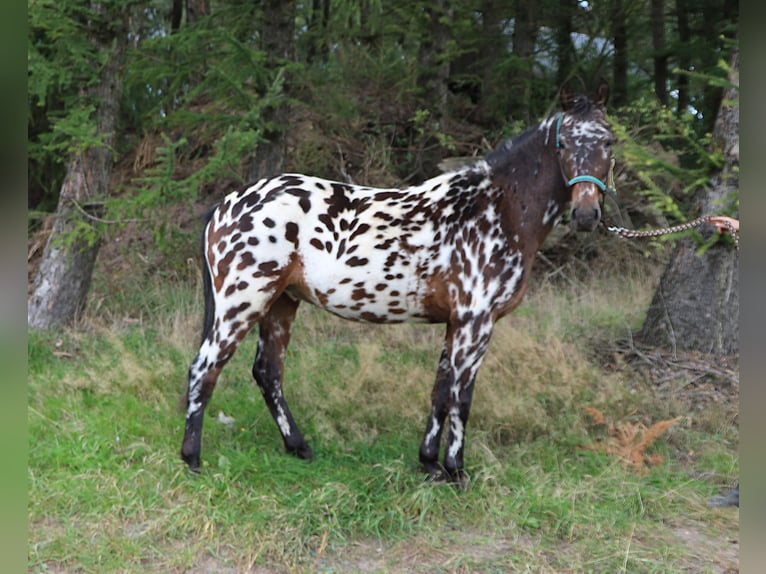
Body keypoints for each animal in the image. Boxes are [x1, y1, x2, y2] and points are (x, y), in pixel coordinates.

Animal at [181, 81, 615, 483]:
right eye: (564, 143)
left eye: (608, 141)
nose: (586, 215)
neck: (496, 208)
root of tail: (227, 203)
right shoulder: (476, 322)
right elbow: (461, 397)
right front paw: (456, 471)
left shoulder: (456, 323)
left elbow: (440, 391)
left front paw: (430, 465)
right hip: (243, 302)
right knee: (205, 367)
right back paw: (192, 459)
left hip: (281, 303)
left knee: (268, 373)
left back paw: (299, 448)